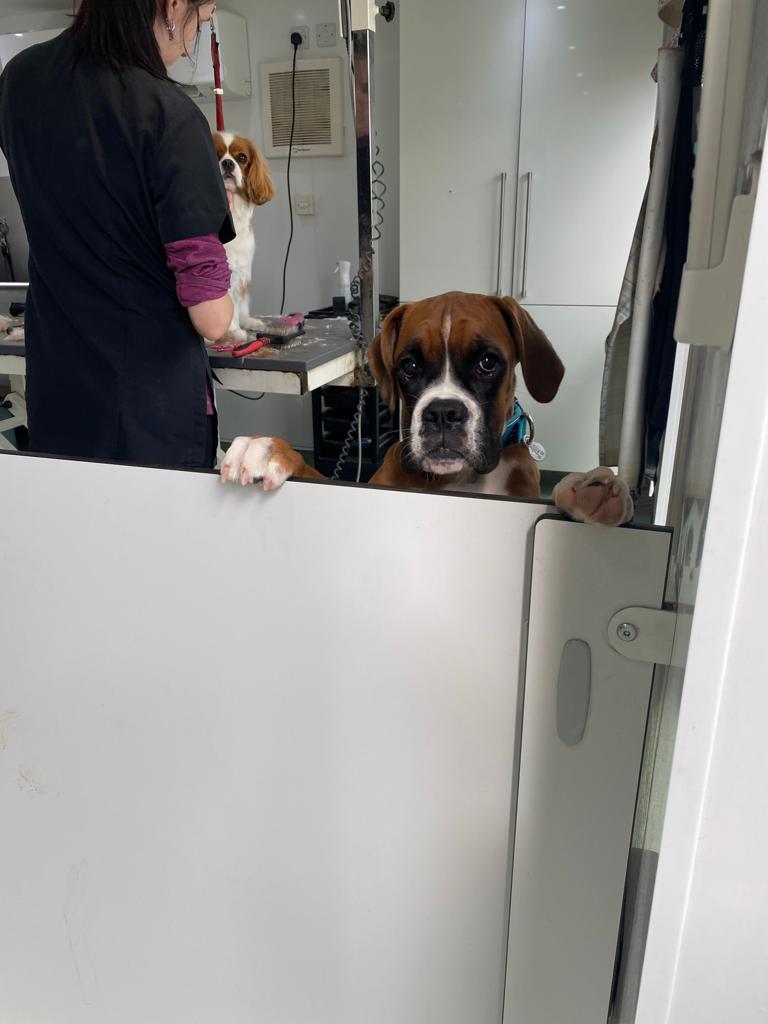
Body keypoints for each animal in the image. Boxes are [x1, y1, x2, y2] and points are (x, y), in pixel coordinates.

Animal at [212, 131, 275, 344]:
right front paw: (229, 334)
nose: (227, 163)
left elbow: (234, 305)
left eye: (241, 158)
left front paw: (236, 328)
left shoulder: (239, 272)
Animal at [220, 292, 633, 526]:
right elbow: (313, 472)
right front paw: (268, 450)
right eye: (409, 365)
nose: (444, 413)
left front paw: (587, 490)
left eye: (487, 362)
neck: (462, 480)